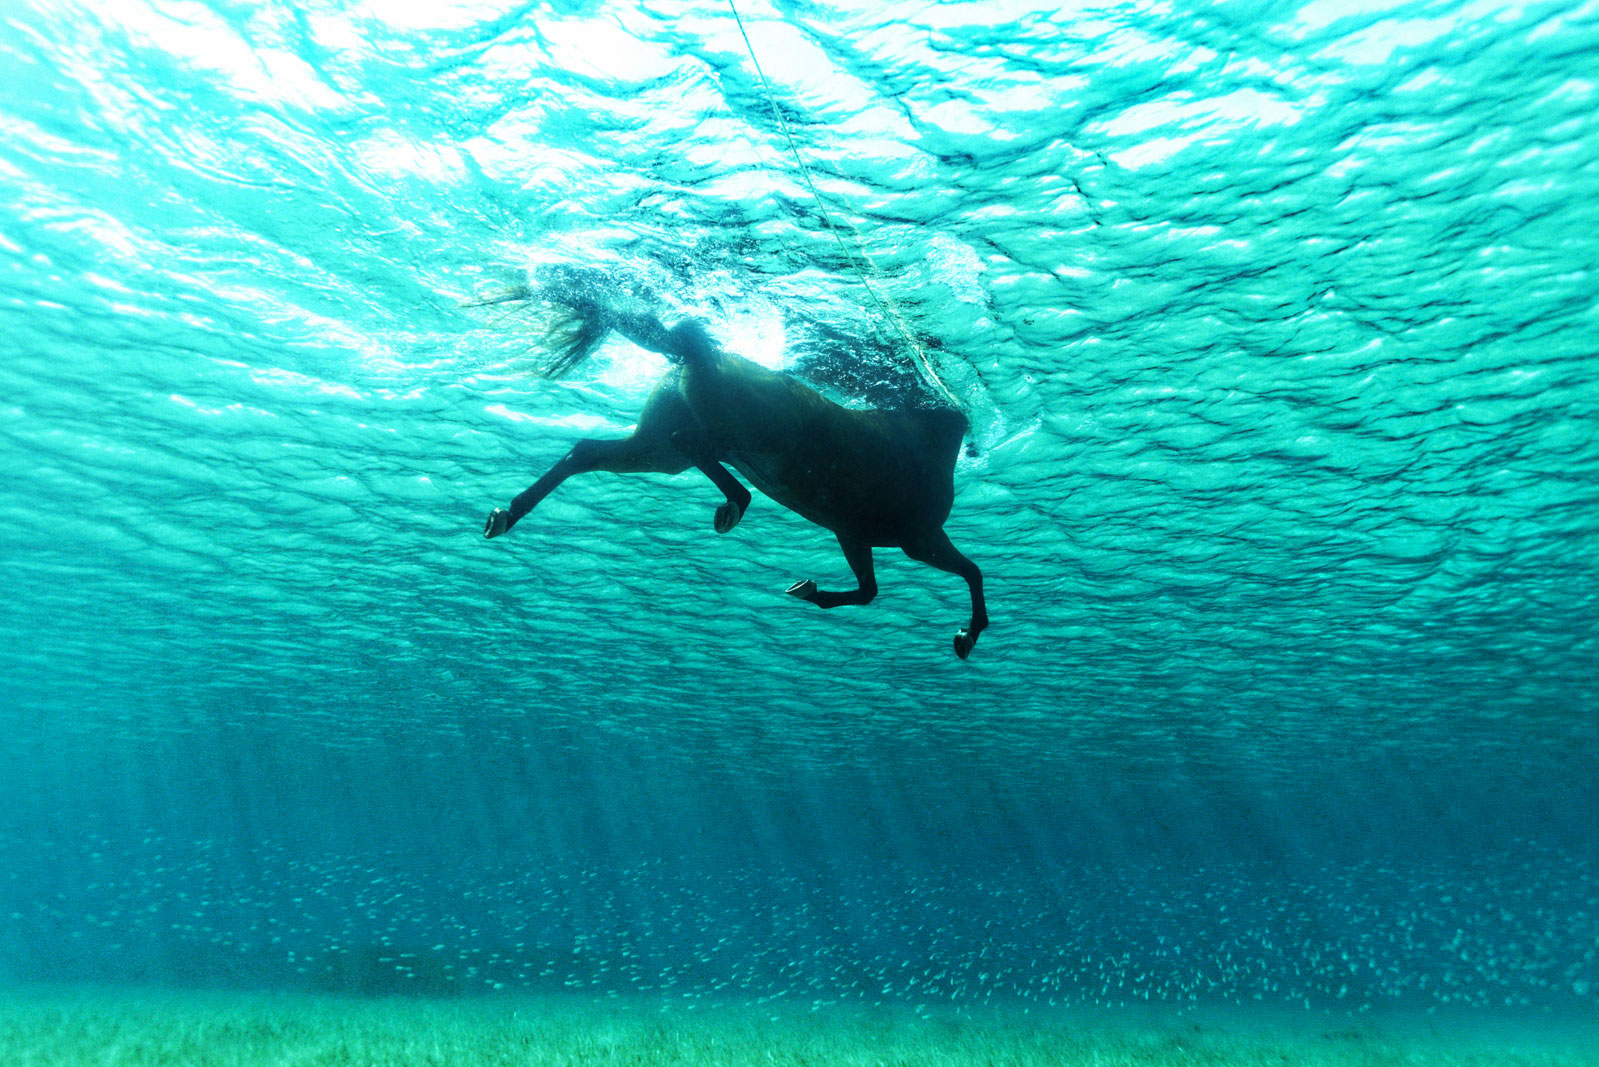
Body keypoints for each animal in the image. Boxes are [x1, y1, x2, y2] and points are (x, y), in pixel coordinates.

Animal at [480, 281, 989, 658]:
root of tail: (699, 356)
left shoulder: (853, 532)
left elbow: (870, 590)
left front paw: (807, 589)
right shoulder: (918, 538)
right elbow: (970, 572)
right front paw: (967, 636)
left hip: (656, 453)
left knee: (589, 452)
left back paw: (504, 516)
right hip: (743, 439)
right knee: (692, 446)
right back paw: (733, 506)